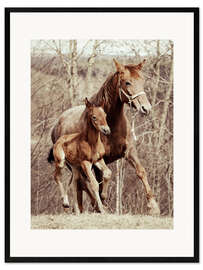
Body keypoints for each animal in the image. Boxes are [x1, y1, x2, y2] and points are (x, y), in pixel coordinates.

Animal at [49, 58, 160, 215]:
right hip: (69, 163)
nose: (146, 108)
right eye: (127, 82)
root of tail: (56, 126)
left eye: (142, 80)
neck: (112, 127)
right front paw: (102, 202)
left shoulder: (129, 152)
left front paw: (153, 206)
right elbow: (99, 182)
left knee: (77, 182)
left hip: (75, 166)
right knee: (82, 182)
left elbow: (141, 171)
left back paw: (80, 207)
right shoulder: (99, 160)